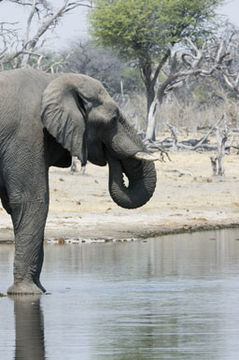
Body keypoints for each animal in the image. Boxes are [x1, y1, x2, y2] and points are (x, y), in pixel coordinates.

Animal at [0, 69, 157, 294]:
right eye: (113, 119)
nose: (111, 156)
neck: (53, 81)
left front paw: (42, 291)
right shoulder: (26, 134)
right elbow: (31, 201)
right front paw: (27, 293)